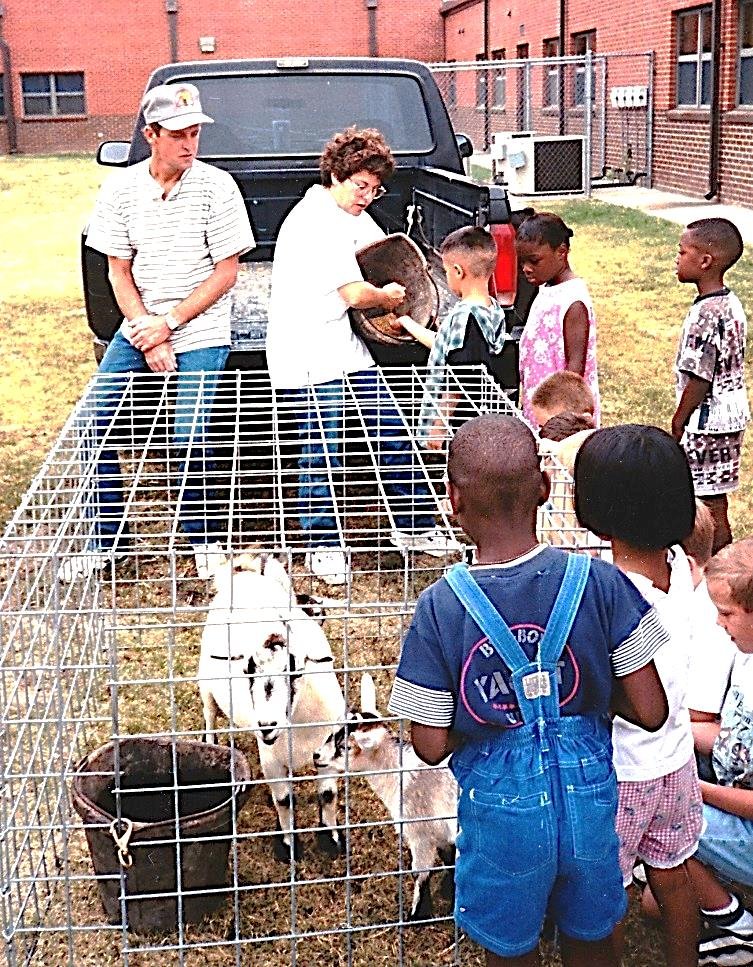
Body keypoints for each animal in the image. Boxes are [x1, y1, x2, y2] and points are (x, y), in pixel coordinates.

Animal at [197, 556, 344, 860]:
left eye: (296, 670)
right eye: (247, 670)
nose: (267, 726)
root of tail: (245, 574)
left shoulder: (327, 748)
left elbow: (327, 796)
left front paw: (331, 840)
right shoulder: (272, 760)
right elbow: (284, 800)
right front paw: (288, 845)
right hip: (205, 684)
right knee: (210, 714)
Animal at [312, 672, 456, 924]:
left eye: (345, 747)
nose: (316, 756)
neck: (402, 773)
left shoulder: (420, 831)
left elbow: (420, 873)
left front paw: (416, 915)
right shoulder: (440, 833)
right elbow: (451, 862)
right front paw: (449, 895)